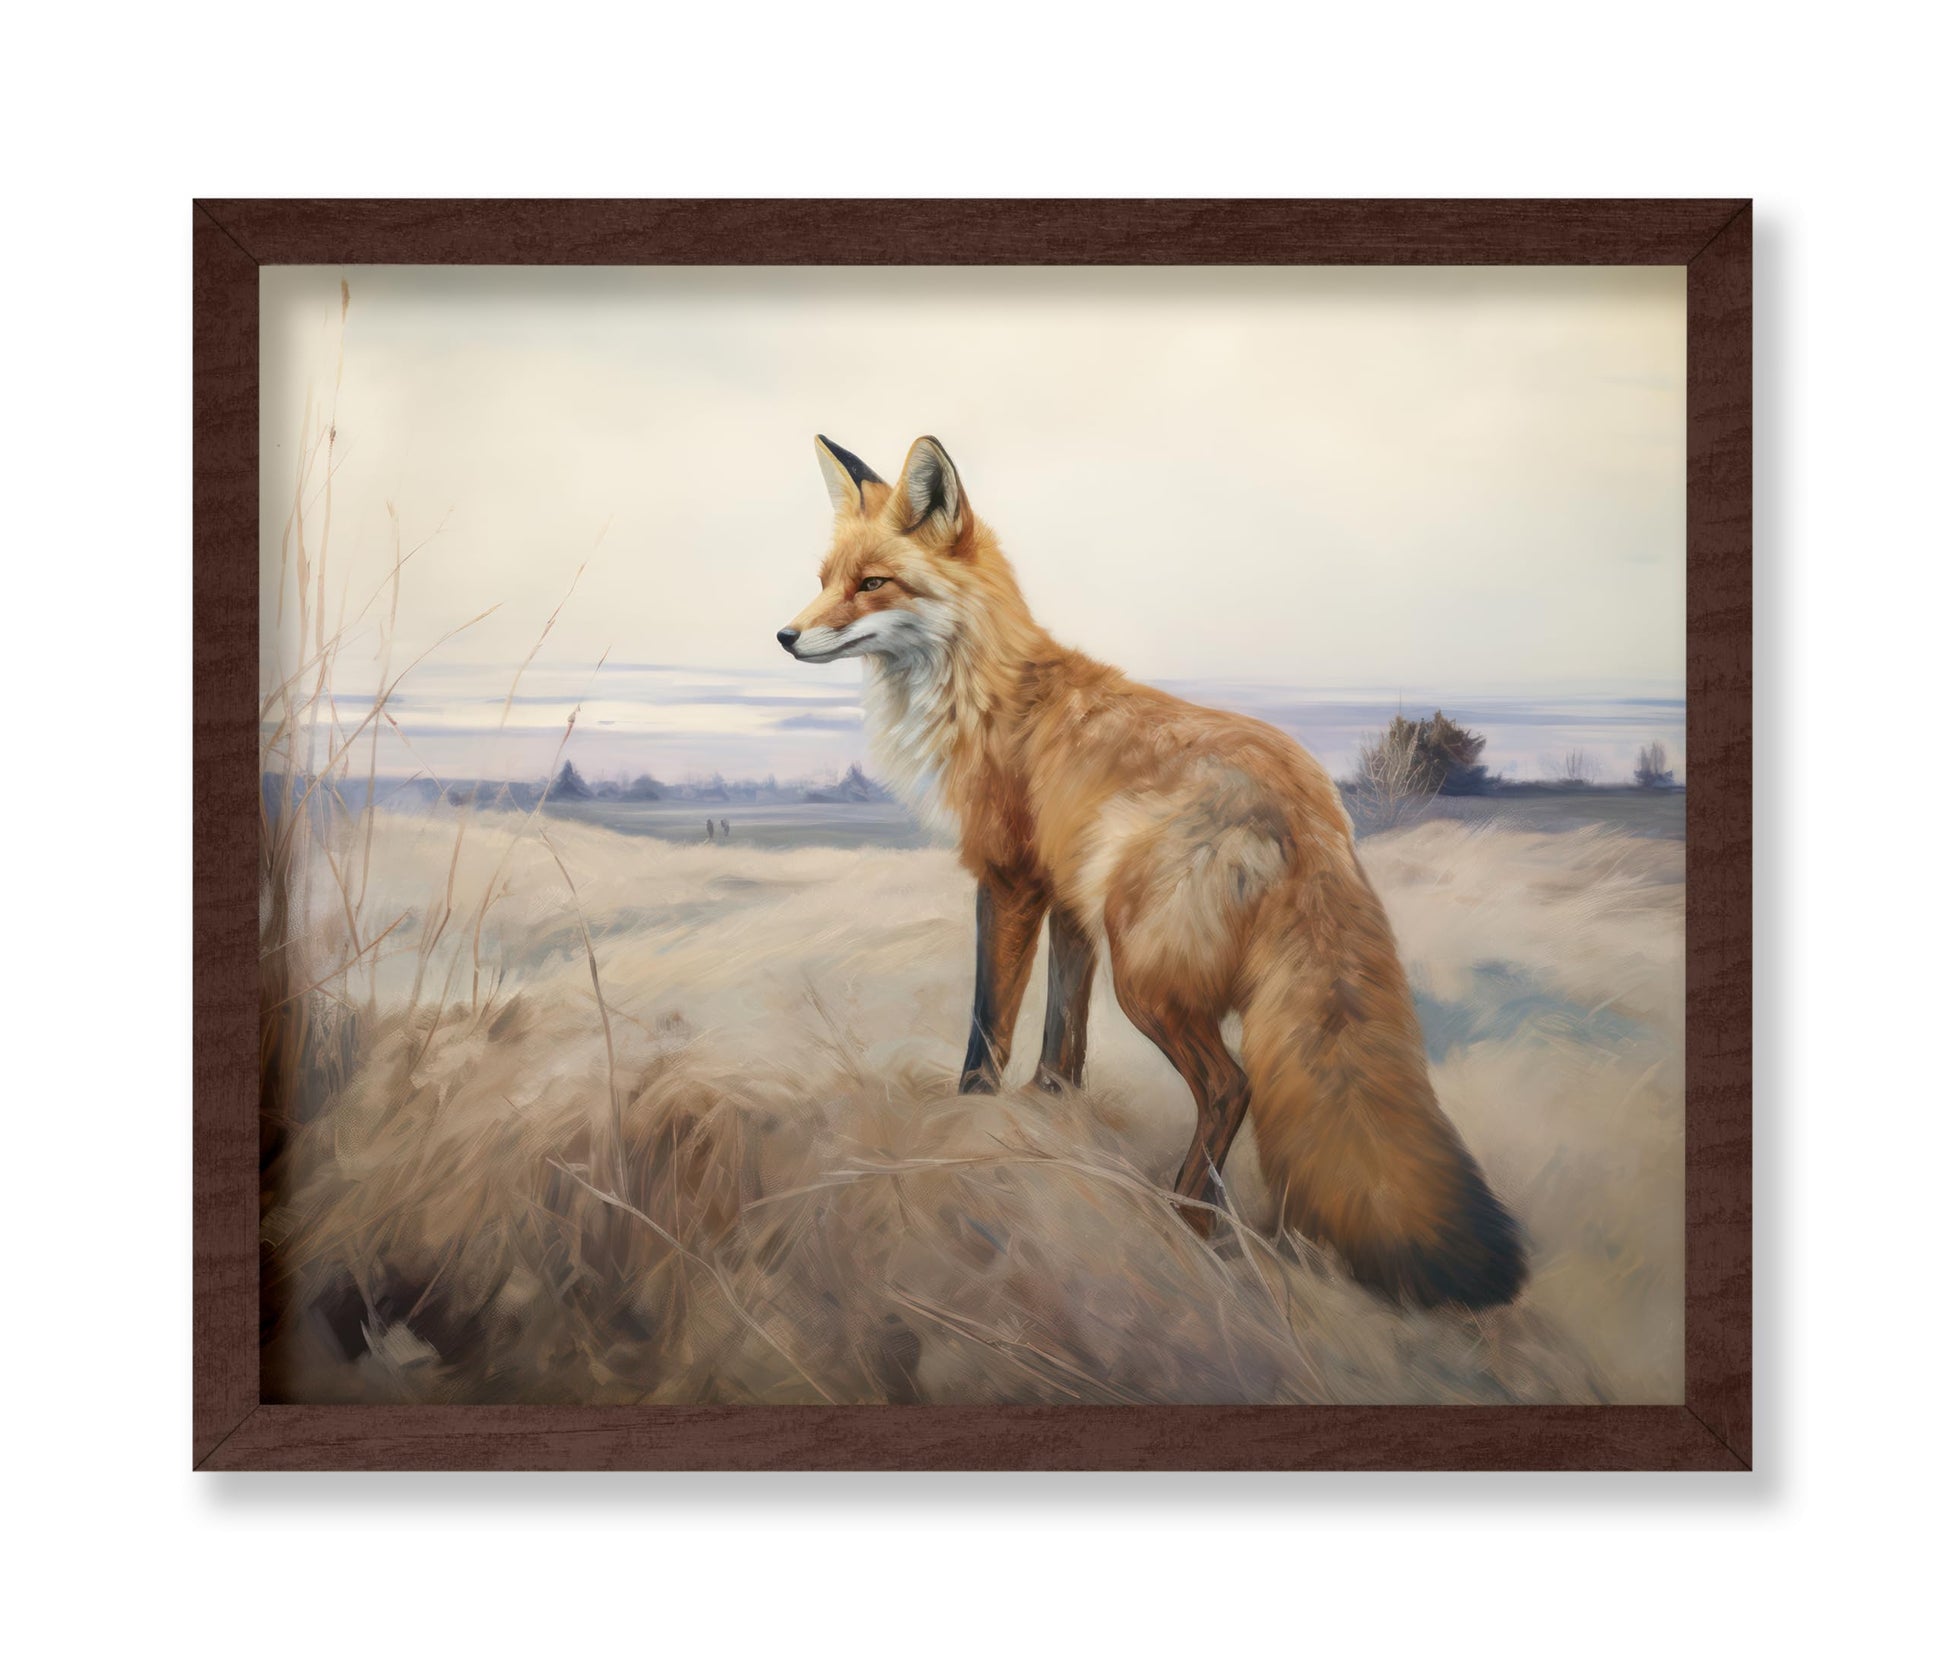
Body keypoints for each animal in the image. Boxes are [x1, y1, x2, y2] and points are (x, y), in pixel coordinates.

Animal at [778, 435, 1527, 1308]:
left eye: (873, 585)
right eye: (823, 580)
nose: (785, 637)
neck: (987, 692)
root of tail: (1314, 808)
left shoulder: (1009, 881)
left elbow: (988, 1026)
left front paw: (966, 1128)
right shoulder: (1067, 901)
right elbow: (1063, 1031)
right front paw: (1049, 1114)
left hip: (1147, 973)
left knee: (1232, 1086)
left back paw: (1187, 1225)